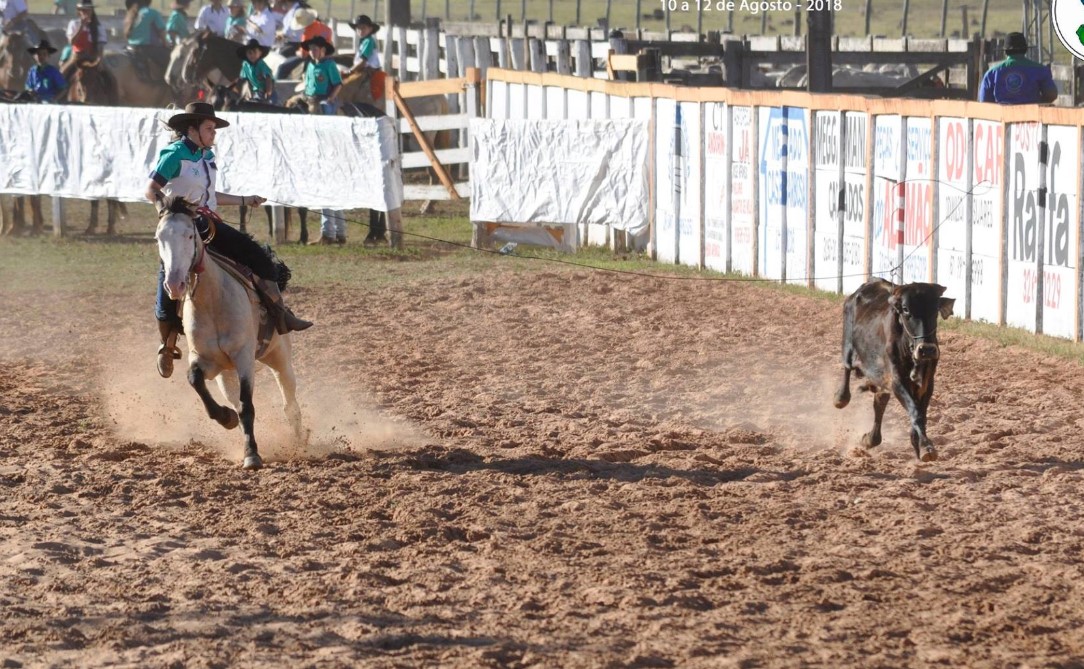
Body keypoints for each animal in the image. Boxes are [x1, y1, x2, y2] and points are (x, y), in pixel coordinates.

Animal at [155, 195, 305, 470]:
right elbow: (195, 381)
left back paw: (300, 440)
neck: (213, 301)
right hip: (226, 375)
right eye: (159, 238)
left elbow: (247, 406)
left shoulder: (243, 357)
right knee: (235, 398)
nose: (174, 284)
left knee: (289, 403)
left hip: (279, 357)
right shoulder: (205, 360)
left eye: (189, 235)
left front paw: (252, 456)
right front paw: (226, 418)